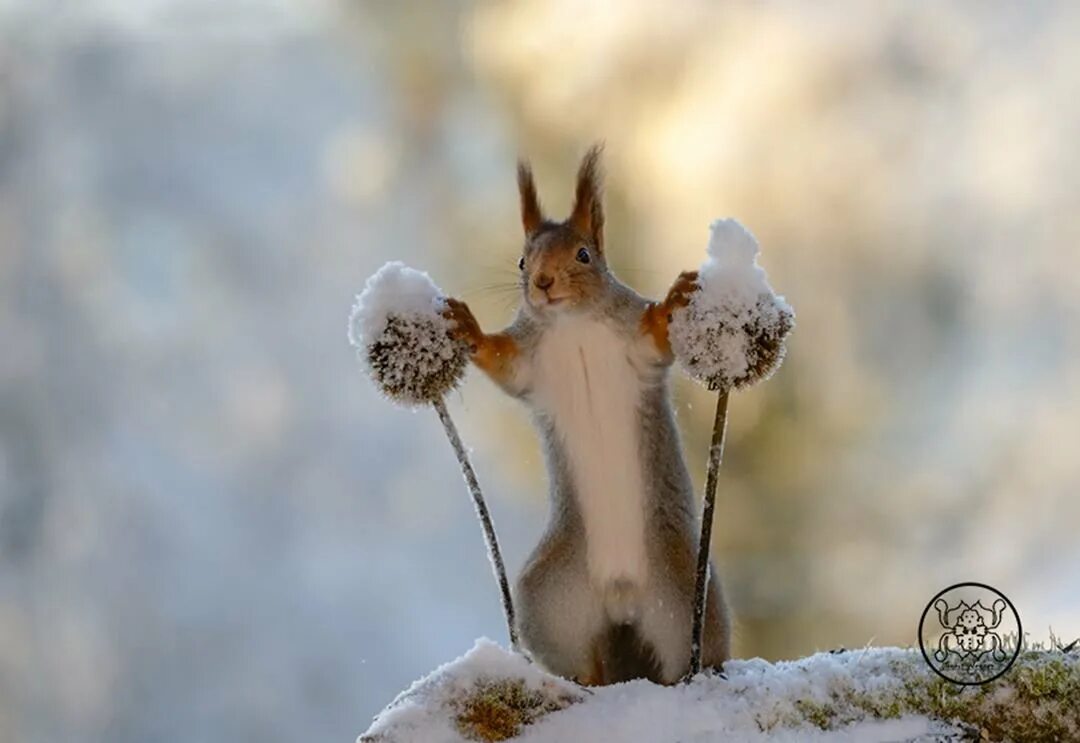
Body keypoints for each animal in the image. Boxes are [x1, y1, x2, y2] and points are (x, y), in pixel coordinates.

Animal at [442, 144, 730, 686]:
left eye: (584, 255)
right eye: (522, 260)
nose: (542, 282)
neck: (572, 324)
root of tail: (620, 596)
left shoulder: (638, 345)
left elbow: (656, 334)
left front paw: (673, 303)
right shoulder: (528, 363)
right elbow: (501, 361)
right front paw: (467, 327)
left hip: (687, 595)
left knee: (694, 653)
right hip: (551, 601)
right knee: (581, 661)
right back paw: (585, 680)